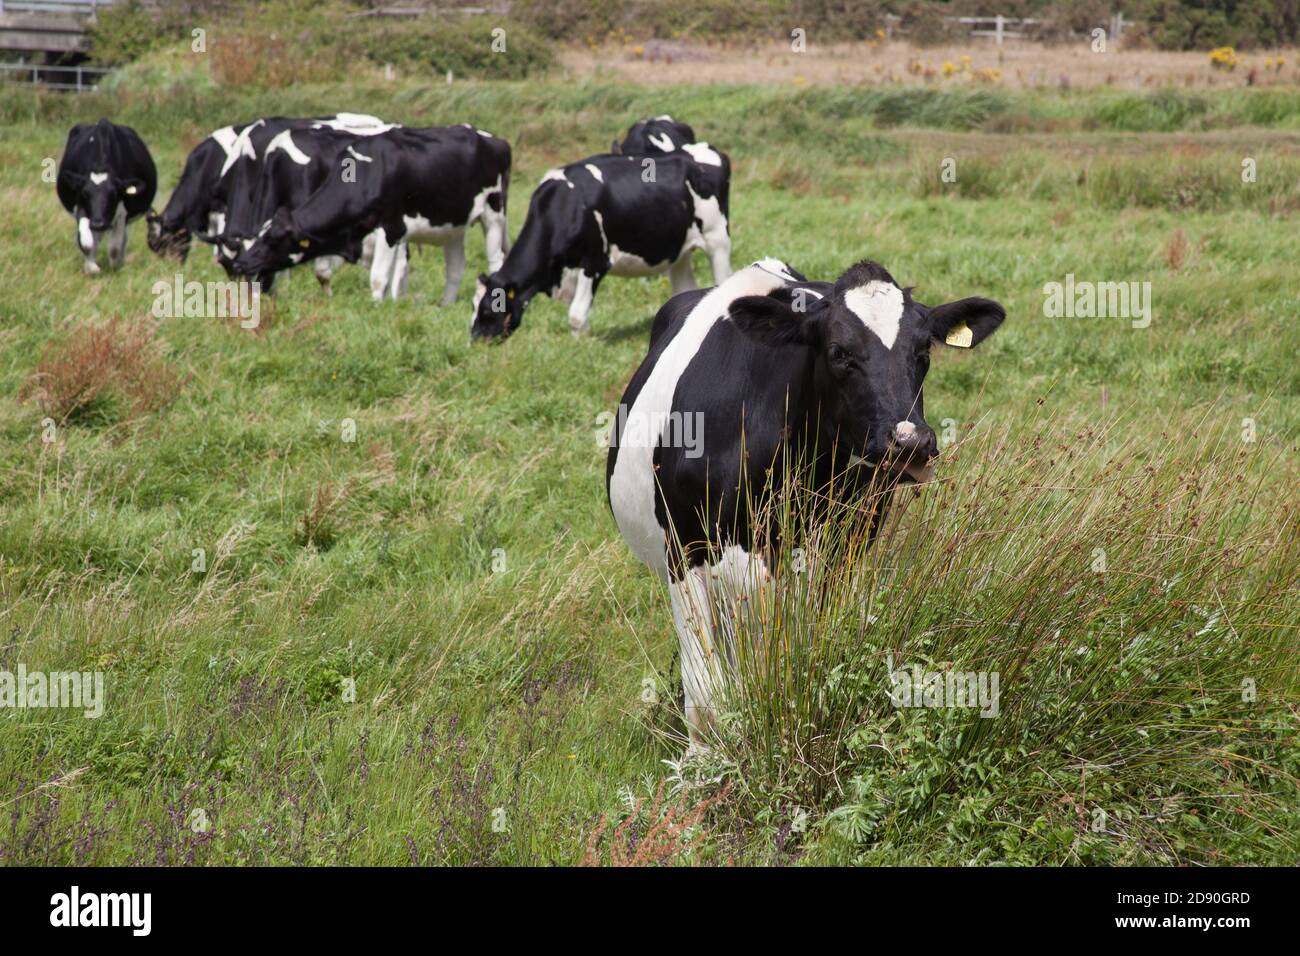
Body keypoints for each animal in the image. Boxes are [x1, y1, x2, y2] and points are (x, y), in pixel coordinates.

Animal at [57, 119, 157, 274]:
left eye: (114, 194)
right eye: (85, 193)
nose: (98, 223)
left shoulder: (122, 212)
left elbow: (115, 247)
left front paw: (115, 267)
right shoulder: (81, 205)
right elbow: (86, 243)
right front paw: (91, 267)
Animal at [229, 125, 511, 304]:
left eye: (273, 240)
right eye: (257, 238)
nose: (242, 263)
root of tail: (494, 139)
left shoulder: (391, 229)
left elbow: (378, 277)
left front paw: (376, 308)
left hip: (494, 214)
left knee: (496, 260)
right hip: (452, 225)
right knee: (456, 267)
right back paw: (445, 305)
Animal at [469, 148, 731, 340]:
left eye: (487, 309)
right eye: (473, 306)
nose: (475, 341)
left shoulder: (595, 262)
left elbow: (576, 314)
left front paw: (580, 345)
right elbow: (578, 311)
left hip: (717, 239)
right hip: (680, 251)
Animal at [605, 258, 1006, 748]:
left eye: (924, 350)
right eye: (838, 353)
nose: (911, 443)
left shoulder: (842, 545)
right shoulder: (683, 550)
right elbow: (706, 697)